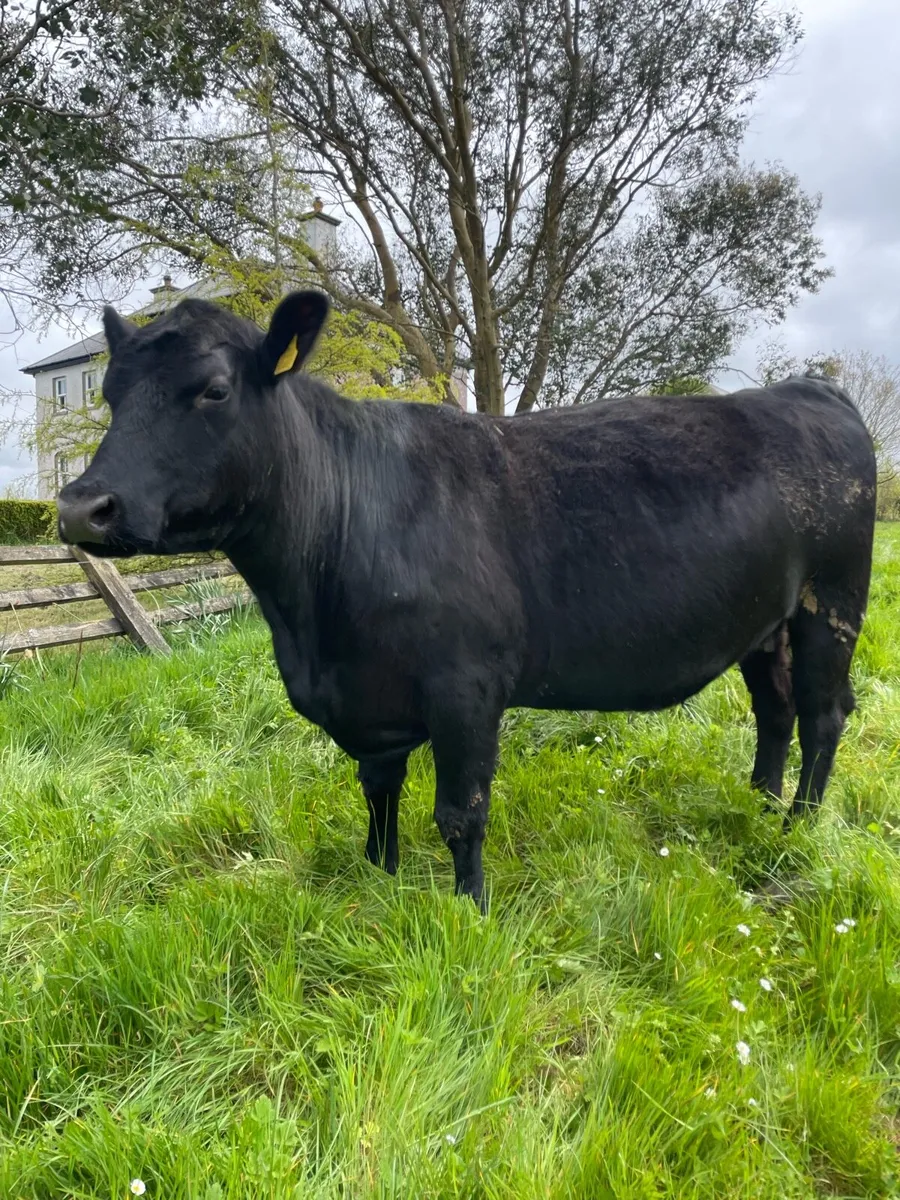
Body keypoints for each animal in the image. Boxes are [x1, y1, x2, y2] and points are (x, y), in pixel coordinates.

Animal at [56, 291, 877, 909]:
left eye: (214, 390)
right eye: (109, 394)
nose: (80, 507)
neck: (309, 622)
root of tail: (809, 388)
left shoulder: (467, 687)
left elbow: (461, 814)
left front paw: (469, 912)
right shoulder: (371, 702)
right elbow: (377, 791)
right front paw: (377, 878)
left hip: (831, 604)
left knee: (822, 713)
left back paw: (796, 829)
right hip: (764, 621)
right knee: (774, 710)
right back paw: (757, 805)